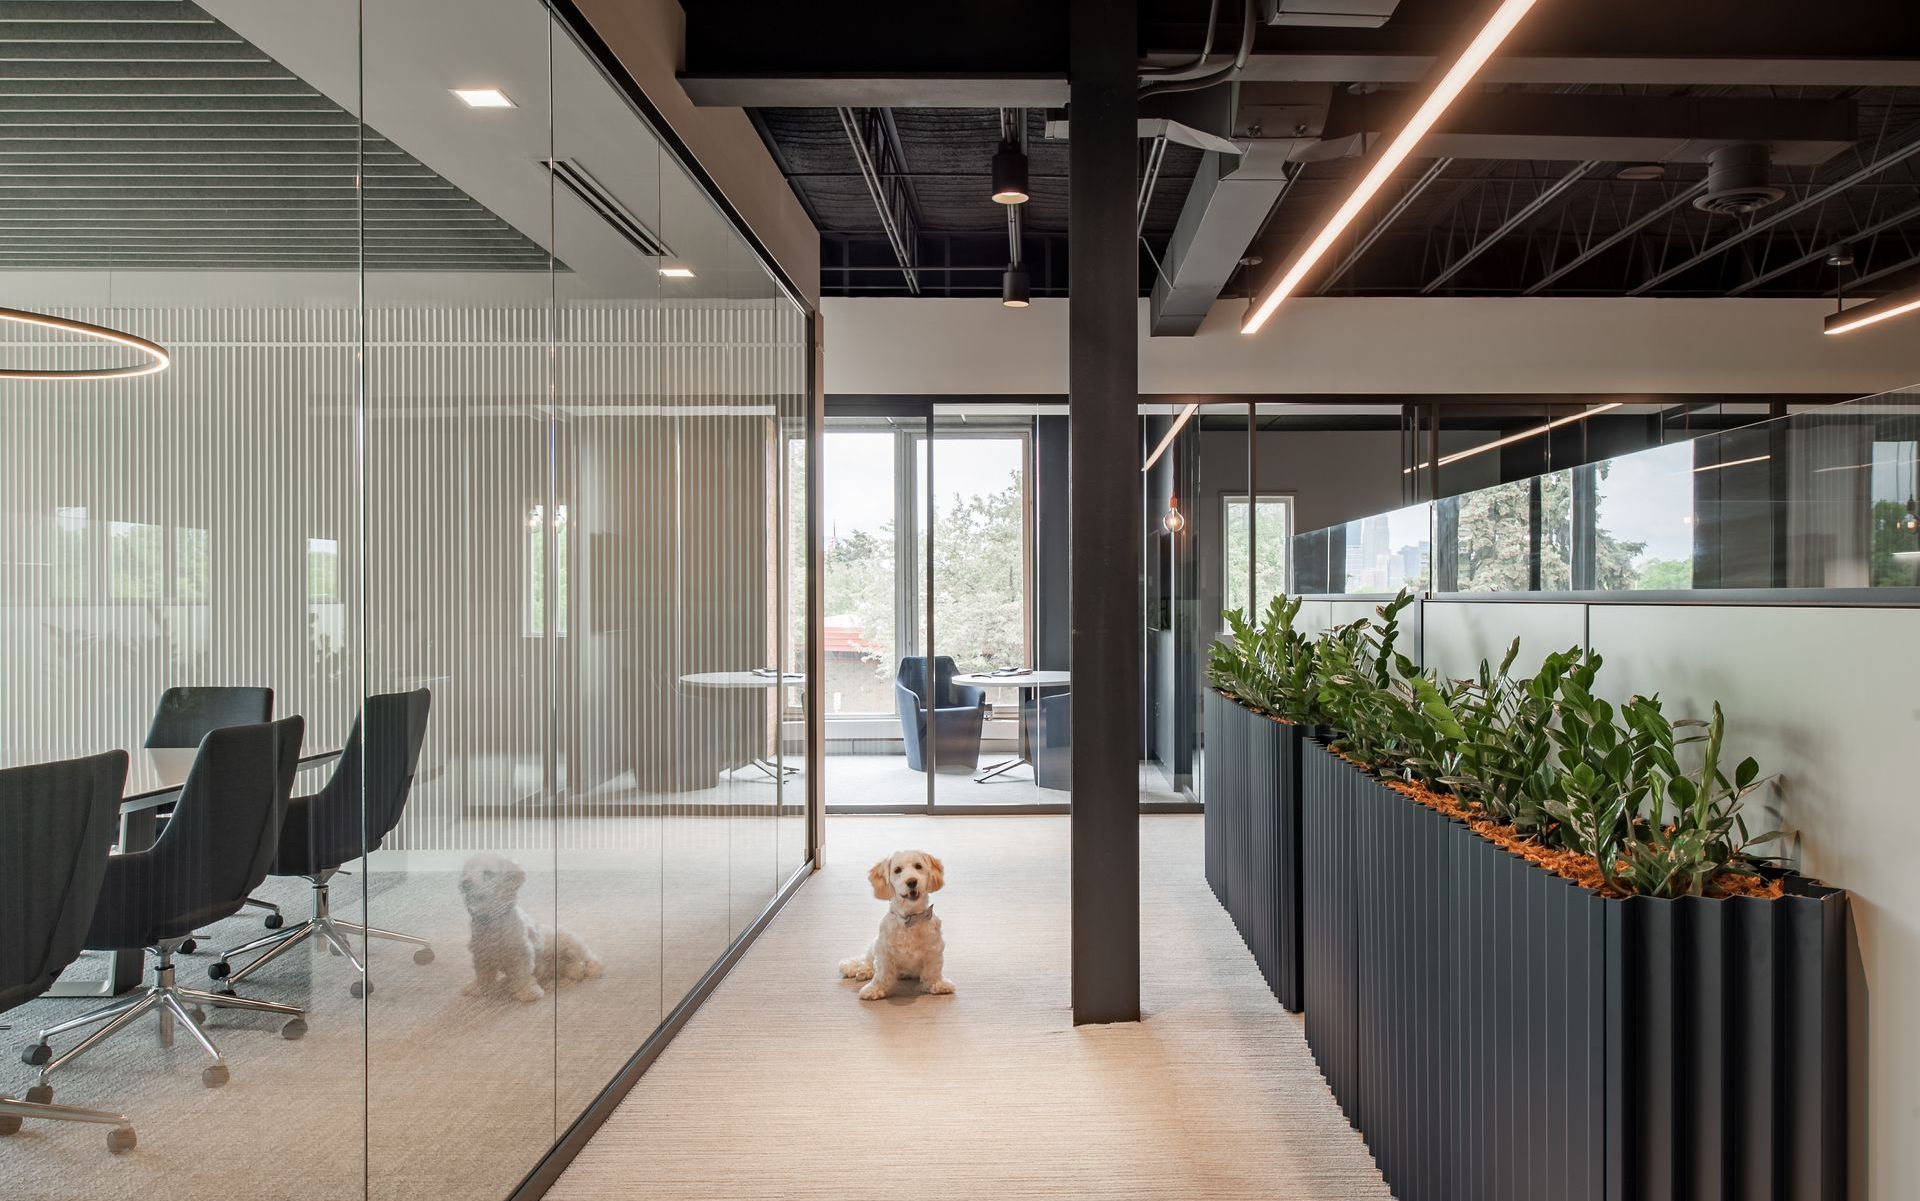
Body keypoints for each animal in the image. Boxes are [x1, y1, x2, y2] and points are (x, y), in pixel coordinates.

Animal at [833, 847, 952, 997]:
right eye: (897, 870)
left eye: (918, 866)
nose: (912, 881)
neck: (910, 919)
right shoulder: (884, 951)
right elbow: (882, 974)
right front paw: (874, 989)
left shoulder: (933, 950)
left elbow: (933, 971)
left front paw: (938, 984)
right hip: (874, 945)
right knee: (867, 960)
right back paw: (862, 970)